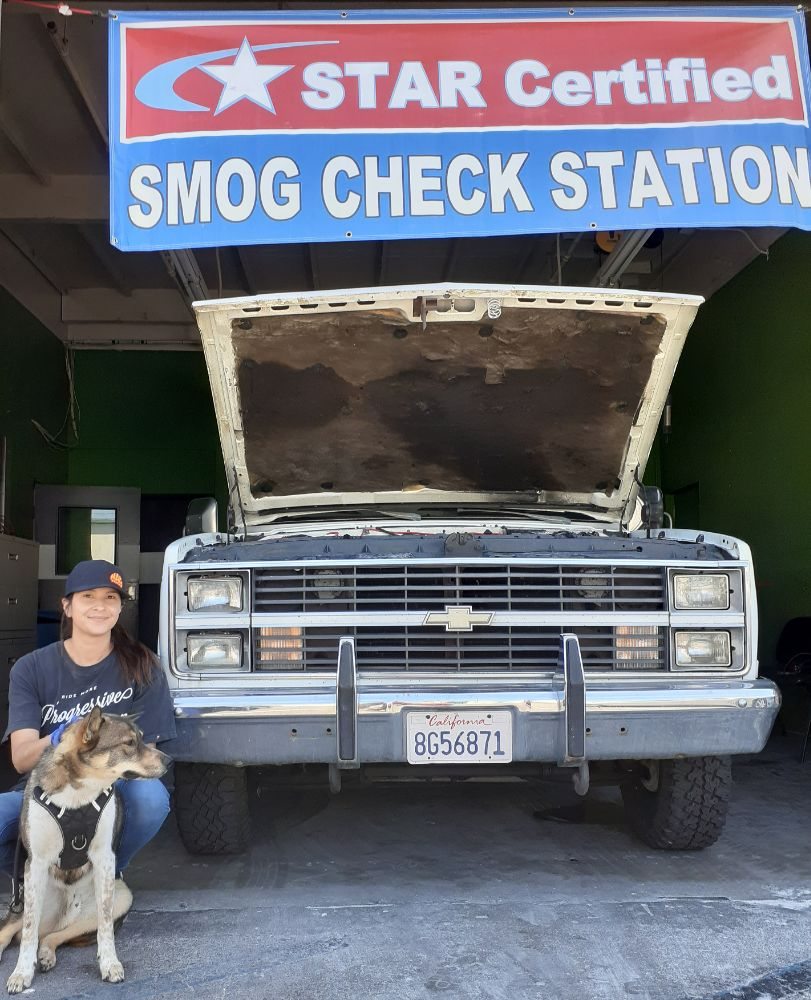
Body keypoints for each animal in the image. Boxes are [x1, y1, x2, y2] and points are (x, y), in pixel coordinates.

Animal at [0, 706, 169, 993]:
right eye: (129, 743)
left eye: (142, 739)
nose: (168, 760)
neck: (80, 791)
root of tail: (62, 914)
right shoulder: (35, 863)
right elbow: (28, 933)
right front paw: (21, 973)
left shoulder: (105, 860)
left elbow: (105, 927)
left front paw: (110, 964)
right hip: (22, 900)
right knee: (18, 932)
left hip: (121, 897)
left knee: (53, 936)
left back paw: (46, 954)